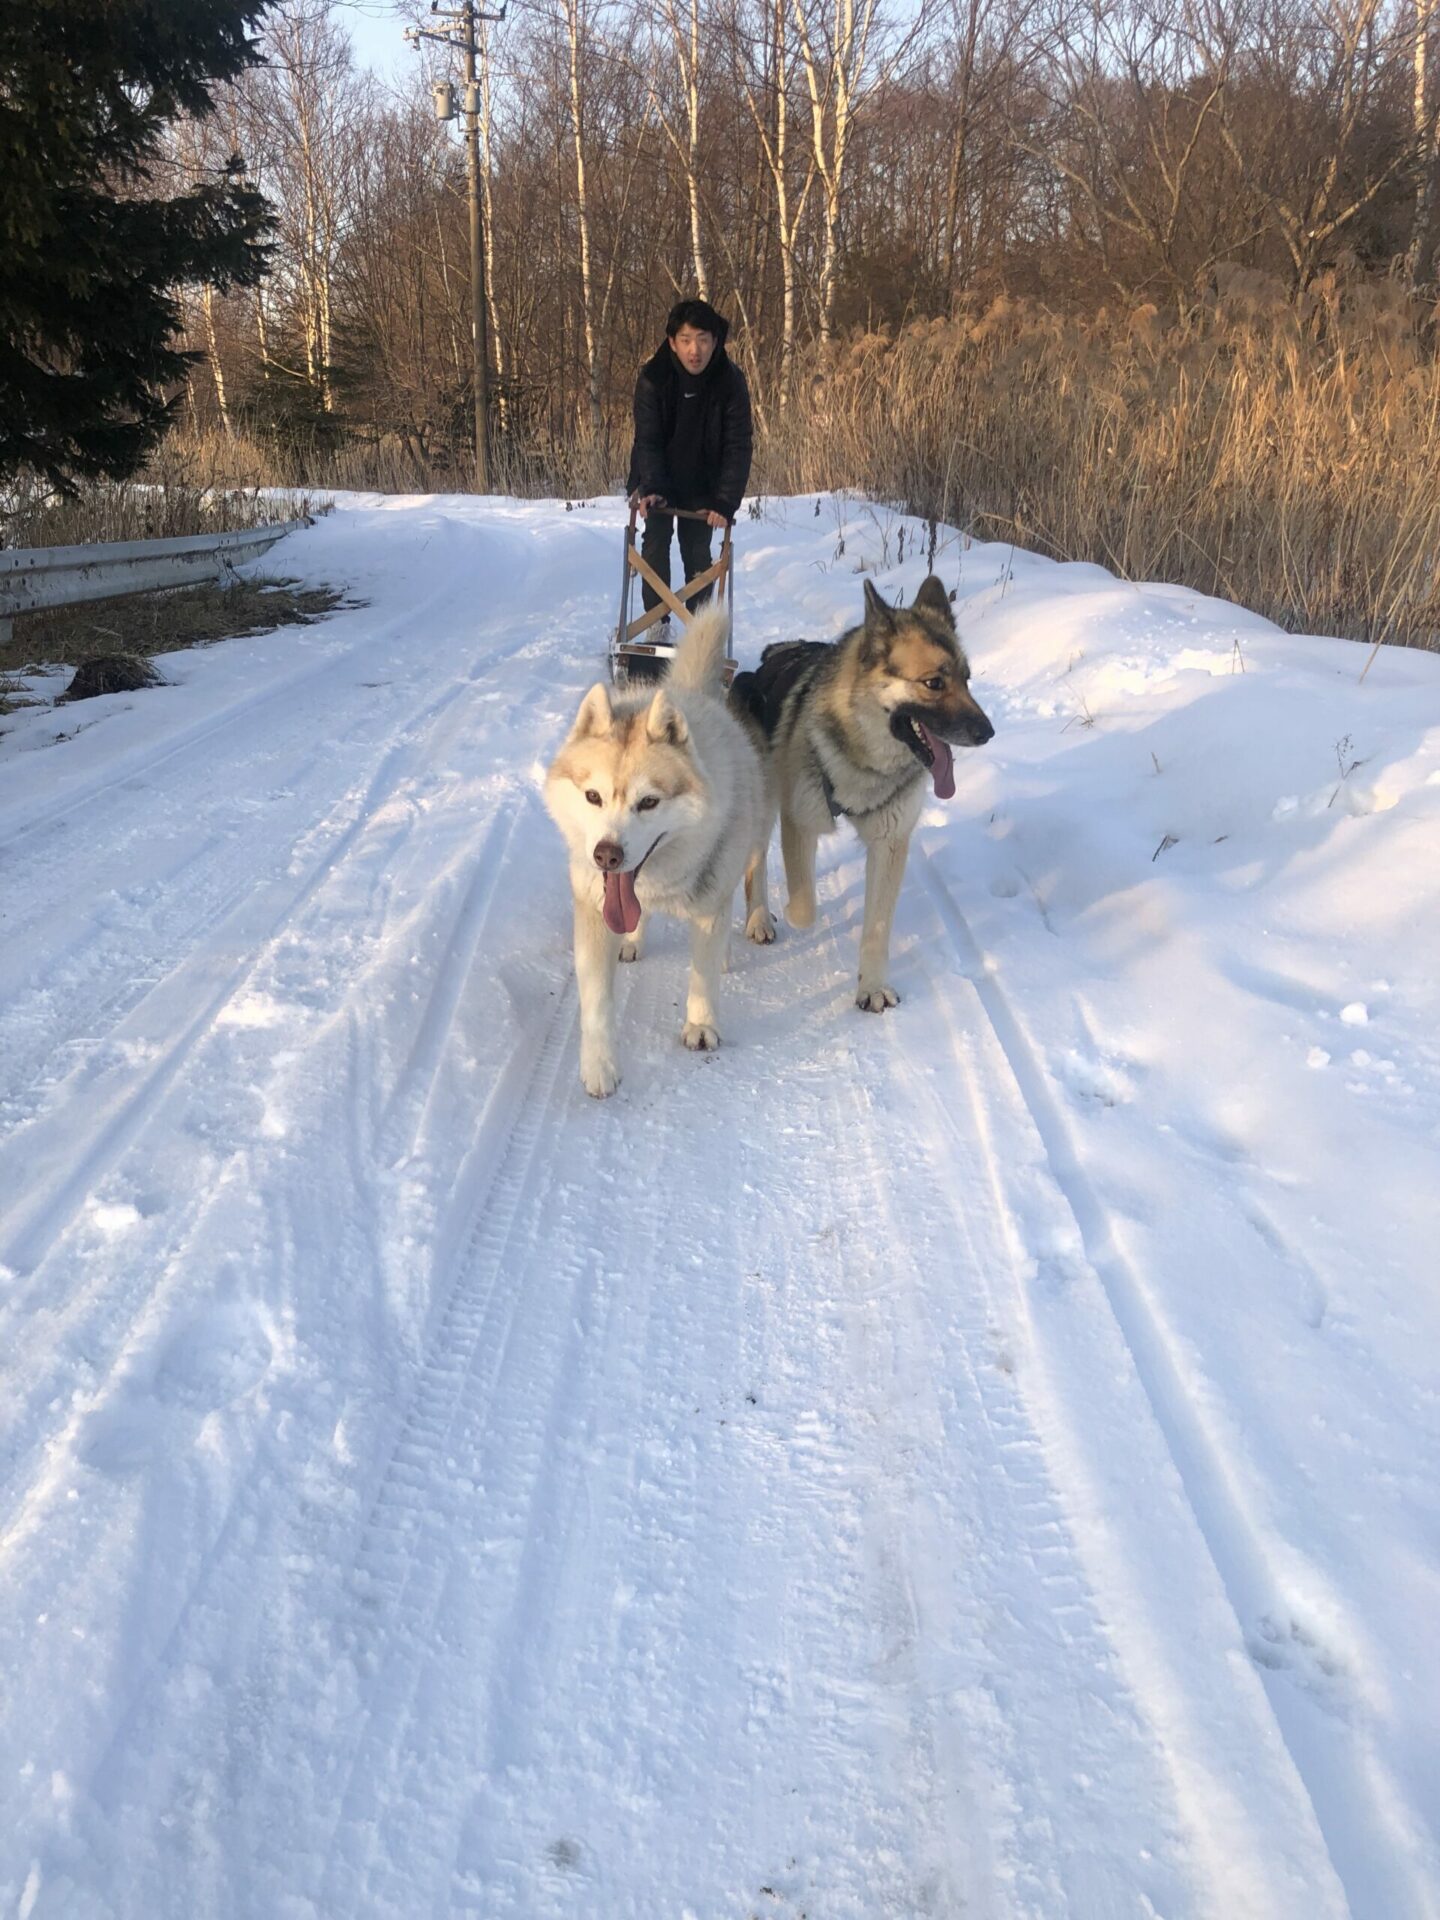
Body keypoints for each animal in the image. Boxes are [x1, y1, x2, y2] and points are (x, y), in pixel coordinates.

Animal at [545, 604, 775, 1098]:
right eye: (593, 796)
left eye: (648, 802)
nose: (607, 855)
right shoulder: (594, 912)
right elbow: (596, 1002)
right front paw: (600, 1066)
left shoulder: (709, 902)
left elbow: (703, 974)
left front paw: (701, 1025)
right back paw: (632, 940)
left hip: (753, 838)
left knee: (754, 875)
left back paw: (754, 922)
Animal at [732, 575, 993, 1011]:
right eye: (934, 683)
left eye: (967, 678)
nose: (987, 732)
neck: (864, 758)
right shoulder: (800, 822)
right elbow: (804, 907)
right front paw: (789, 911)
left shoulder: (890, 843)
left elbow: (877, 927)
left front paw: (871, 986)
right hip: (763, 806)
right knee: (755, 863)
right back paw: (759, 918)